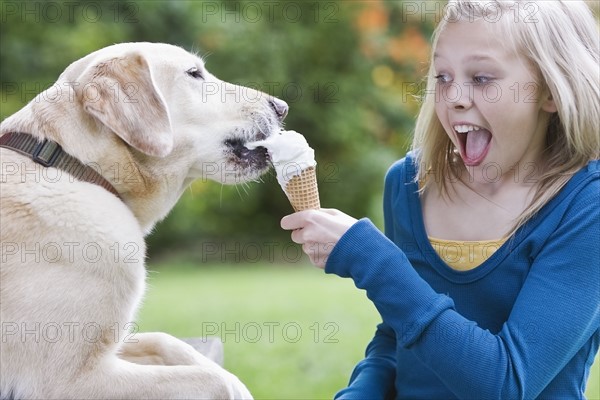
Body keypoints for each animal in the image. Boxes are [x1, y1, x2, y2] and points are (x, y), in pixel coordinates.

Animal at [0, 42, 288, 398]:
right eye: (194, 74)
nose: (282, 107)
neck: (77, 166)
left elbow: (167, 341)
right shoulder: (65, 382)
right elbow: (213, 380)